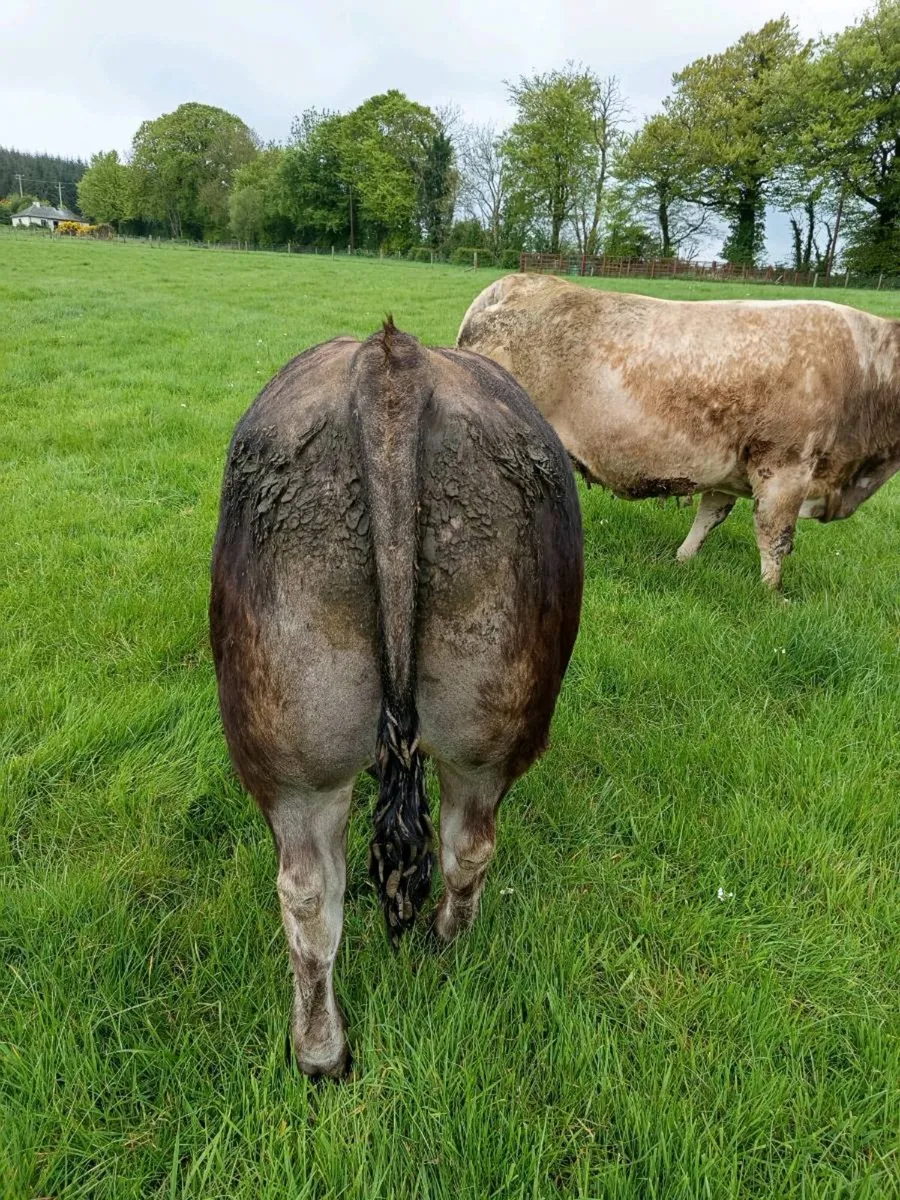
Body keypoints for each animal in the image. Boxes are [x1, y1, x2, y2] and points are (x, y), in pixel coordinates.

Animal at [210, 319, 583, 1078]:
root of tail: (392, 365)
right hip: (473, 734)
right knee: (456, 849)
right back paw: (428, 960)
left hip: (296, 758)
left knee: (311, 890)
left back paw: (323, 1049)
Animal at [457, 273, 900, 588]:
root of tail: (520, 280)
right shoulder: (785, 466)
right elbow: (775, 535)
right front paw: (772, 594)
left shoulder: (728, 470)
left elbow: (711, 517)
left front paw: (682, 561)